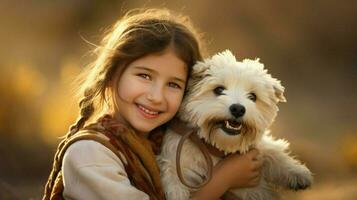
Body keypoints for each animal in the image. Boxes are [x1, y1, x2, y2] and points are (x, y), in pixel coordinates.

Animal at [158, 50, 312, 200]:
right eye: (219, 90)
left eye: (252, 97)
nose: (238, 109)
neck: (219, 148)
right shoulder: (177, 161)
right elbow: (173, 176)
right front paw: (177, 192)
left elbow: (272, 151)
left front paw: (297, 173)